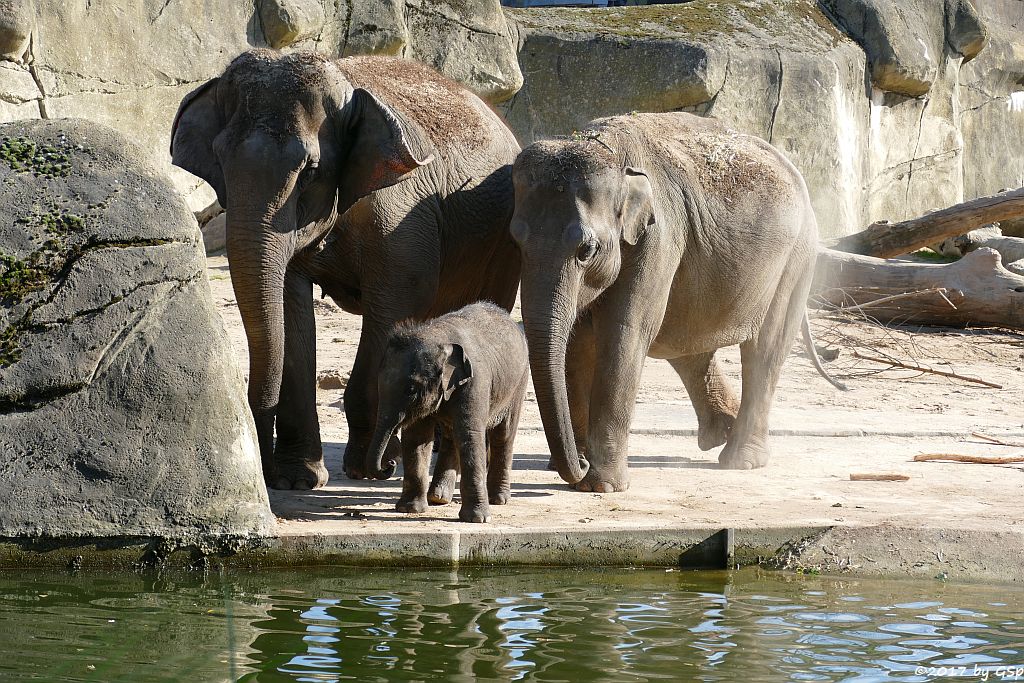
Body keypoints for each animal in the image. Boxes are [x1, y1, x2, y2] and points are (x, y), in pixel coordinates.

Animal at [171, 50, 520, 489]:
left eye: (310, 171)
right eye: (219, 161)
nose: (266, 473)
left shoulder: (403, 220)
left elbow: (396, 305)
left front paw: (370, 470)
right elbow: (289, 306)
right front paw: (300, 478)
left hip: (503, 246)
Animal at [366, 301, 528, 520]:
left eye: (411, 390)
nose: (390, 463)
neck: (436, 336)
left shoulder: (475, 382)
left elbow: (470, 435)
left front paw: (477, 519)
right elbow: (417, 438)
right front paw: (410, 509)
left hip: (518, 384)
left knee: (503, 434)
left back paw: (498, 499)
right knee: (452, 435)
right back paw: (438, 498)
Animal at [512, 114, 839, 493]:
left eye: (586, 250)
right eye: (515, 242)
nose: (579, 464)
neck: (605, 149)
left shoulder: (657, 239)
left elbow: (624, 335)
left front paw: (601, 486)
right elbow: (578, 343)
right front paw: (572, 466)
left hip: (795, 261)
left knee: (764, 349)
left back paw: (740, 460)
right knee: (686, 342)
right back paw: (721, 432)